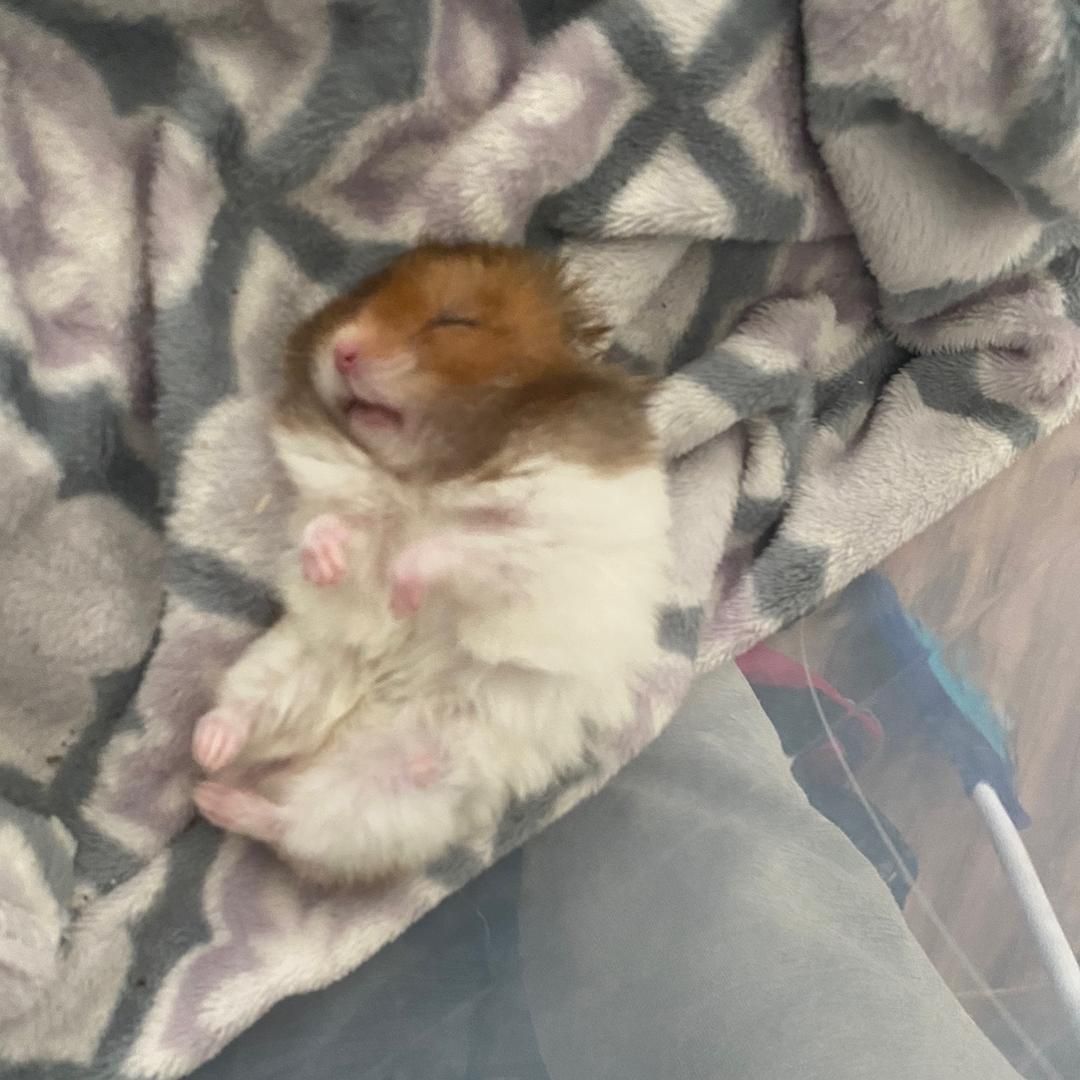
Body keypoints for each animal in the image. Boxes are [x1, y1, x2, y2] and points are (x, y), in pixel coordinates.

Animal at [190, 245, 669, 885]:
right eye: (359, 300)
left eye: (455, 320)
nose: (343, 349)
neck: (423, 475)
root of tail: (316, 748)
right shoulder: (361, 520)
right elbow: (340, 532)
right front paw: (326, 565)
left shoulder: (540, 549)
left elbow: (457, 548)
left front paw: (403, 592)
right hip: (282, 668)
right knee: (243, 725)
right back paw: (206, 759)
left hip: (387, 798)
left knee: (291, 829)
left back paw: (219, 794)